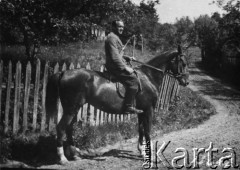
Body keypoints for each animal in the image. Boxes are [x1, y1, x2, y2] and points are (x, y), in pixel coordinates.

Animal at [45, 45, 189, 164]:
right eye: (183, 63)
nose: (186, 82)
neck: (148, 76)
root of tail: (64, 73)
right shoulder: (148, 110)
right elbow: (148, 131)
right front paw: (150, 156)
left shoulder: (141, 111)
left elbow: (141, 130)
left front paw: (142, 152)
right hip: (71, 109)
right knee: (61, 128)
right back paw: (62, 158)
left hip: (73, 109)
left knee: (69, 128)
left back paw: (74, 155)